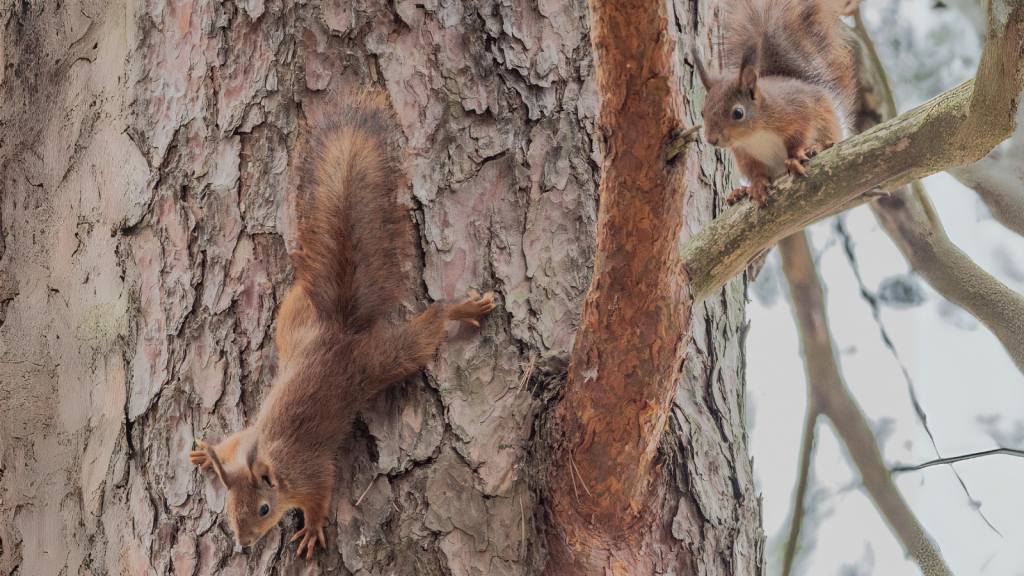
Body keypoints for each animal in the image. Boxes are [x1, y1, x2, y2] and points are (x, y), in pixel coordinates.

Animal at [192, 93, 499, 557]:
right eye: (229, 507)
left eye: (264, 509)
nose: (244, 543)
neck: (266, 460)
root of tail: (337, 329)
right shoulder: (245, 439)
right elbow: (228, 441)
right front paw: (203, 454)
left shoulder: (311, 472)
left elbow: (321, 495)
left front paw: (312, 529)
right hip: (294, 325)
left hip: (380, 361)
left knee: (427, 329)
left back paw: (461, 310)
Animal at [696, 0, 856, 206]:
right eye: (703, 112)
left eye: (738, 113)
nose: (712, 140)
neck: (755, 134)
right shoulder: (744, 152)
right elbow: (754, 170)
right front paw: (756, 185)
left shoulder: (797, 109)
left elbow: (798, 135)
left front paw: (795, 157)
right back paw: (740, 191)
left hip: (827, 122)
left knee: (832, 140)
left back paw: (817, 147)